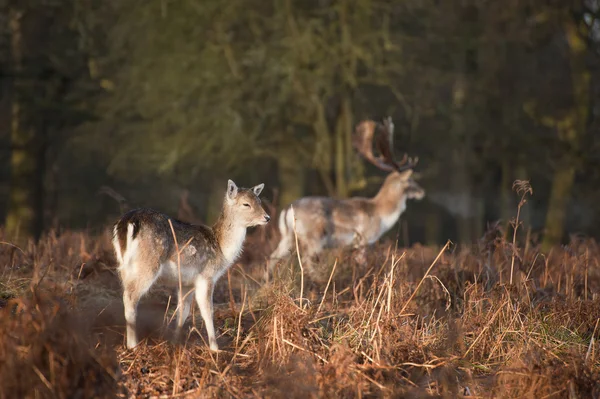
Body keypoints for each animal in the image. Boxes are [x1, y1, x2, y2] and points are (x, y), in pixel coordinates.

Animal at [112, 180, 270, 352]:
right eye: (246, 204)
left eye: (259, 201)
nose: (267, 217)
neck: (221, 249)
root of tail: (127, 222)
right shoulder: (206, 276)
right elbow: (207, 310)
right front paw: (215, 348)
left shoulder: (186, 282)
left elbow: (183, 310)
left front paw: (175, 342)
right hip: (147, 263)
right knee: (130, 297)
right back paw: (133, 345)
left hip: (124, 266)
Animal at [270, 116, 424, 276]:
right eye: (410, 180)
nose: (422, 191)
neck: (382, 216)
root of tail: (287, 209)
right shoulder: (364, 240)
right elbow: (362, 264)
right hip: (313, 237)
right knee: (306, 260)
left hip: (287, 236)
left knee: (272, 257)